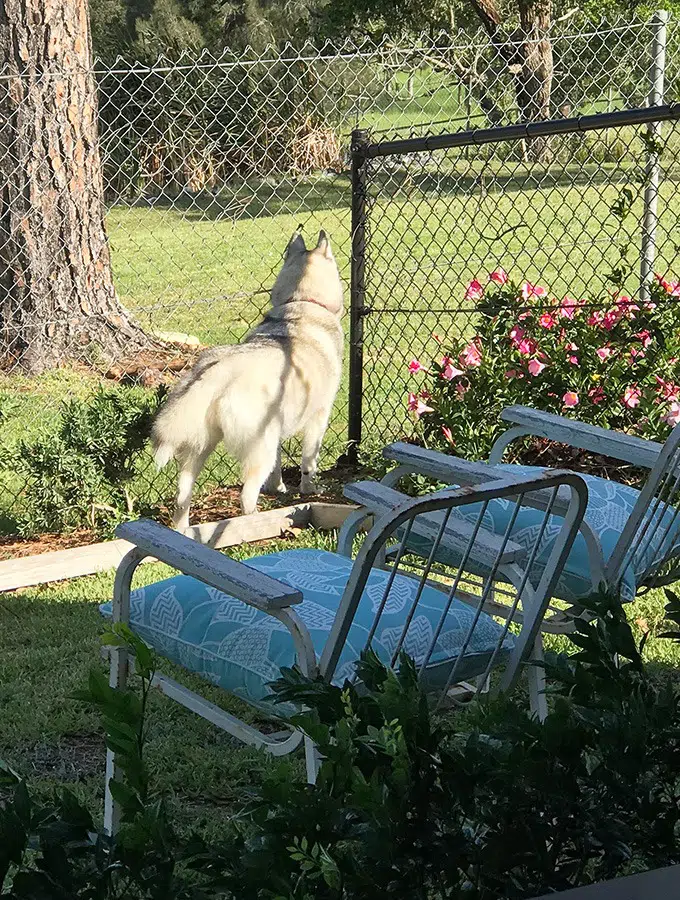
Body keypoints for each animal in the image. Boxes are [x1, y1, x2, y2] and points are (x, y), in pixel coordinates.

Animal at [154, 229, 346, 532]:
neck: (301, 303)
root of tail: (220, 368)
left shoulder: (277, 429)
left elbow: (278, 467)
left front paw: (278, 488)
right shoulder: (319, 416)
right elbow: (309, 462)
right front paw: (308, 489)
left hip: (199, 449)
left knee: (182, 495)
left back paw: (182, 530)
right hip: (256, 450)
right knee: (246, 494)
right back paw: (255, 521)